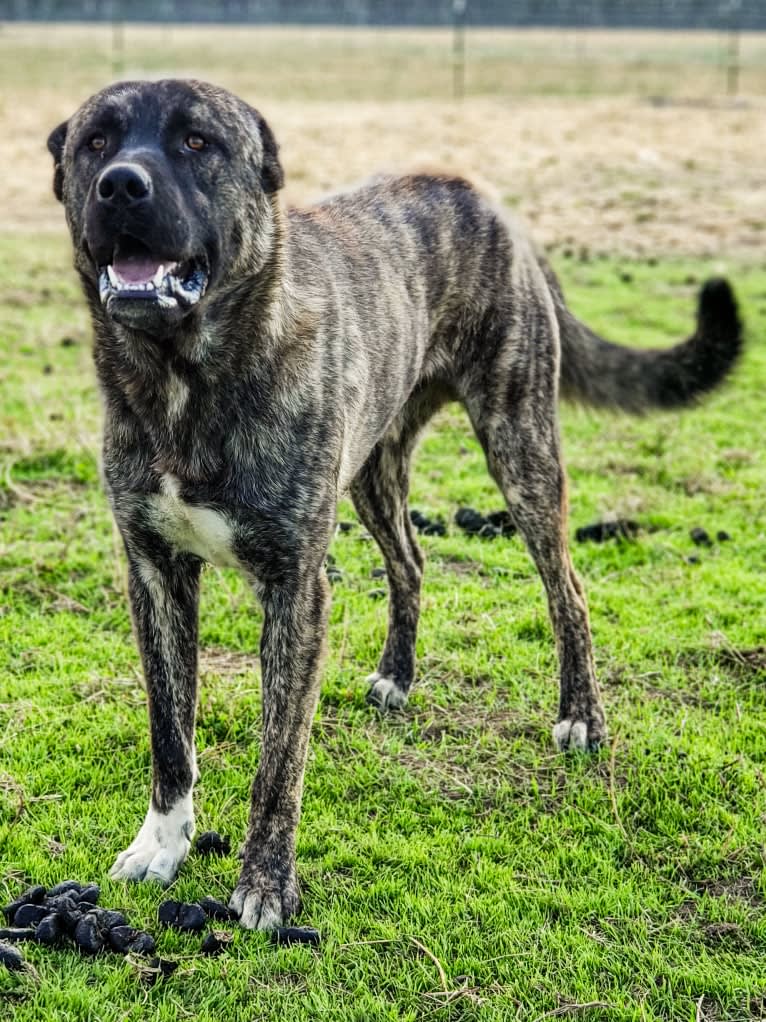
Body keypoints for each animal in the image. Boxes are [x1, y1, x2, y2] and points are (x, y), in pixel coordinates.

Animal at [48, 77, 743, 927]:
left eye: (197, 142)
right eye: (97, 142)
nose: (122, 186)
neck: (185, 379)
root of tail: (485, 197)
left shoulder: (294, 590)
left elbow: (278, 761)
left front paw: (265, 885)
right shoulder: (154, 572)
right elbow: (170, 731)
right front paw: (162, 843)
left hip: (521, 448)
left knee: (567, 590)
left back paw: (581, 715)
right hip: (376, 469)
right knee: (410, 563)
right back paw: (398, 675)